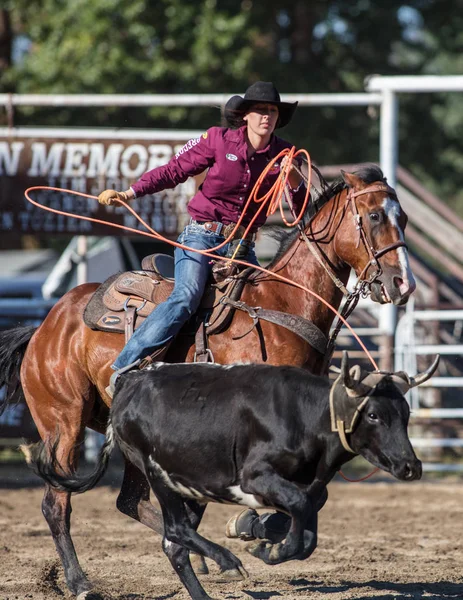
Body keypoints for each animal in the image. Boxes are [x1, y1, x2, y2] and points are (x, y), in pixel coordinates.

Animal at [0, 163, 414, 596]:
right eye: (374, 216)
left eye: (402, 218)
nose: (403, 284)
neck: (281, 306)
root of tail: (44, 328)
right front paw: (250, 525)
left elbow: (313, 495)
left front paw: (253, 528)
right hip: (63, 422)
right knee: (56, 502)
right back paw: (80, 581)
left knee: (130, 501)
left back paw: (202, 555)